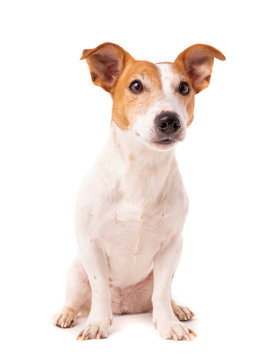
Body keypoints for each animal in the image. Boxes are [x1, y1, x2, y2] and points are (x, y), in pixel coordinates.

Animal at [53, 42, 225, 340]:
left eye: (184, 87)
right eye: (135, 86)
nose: (169, 120)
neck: (142, 171)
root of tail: (125, 307)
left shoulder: (172, 246)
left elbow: (162, 292)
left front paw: (169, 324)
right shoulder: (90, 244)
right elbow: (99, 289)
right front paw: (97, 324)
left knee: (162, 294)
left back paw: (178, 308)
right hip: (76, 272)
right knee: (76, 299)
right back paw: (67, 314)